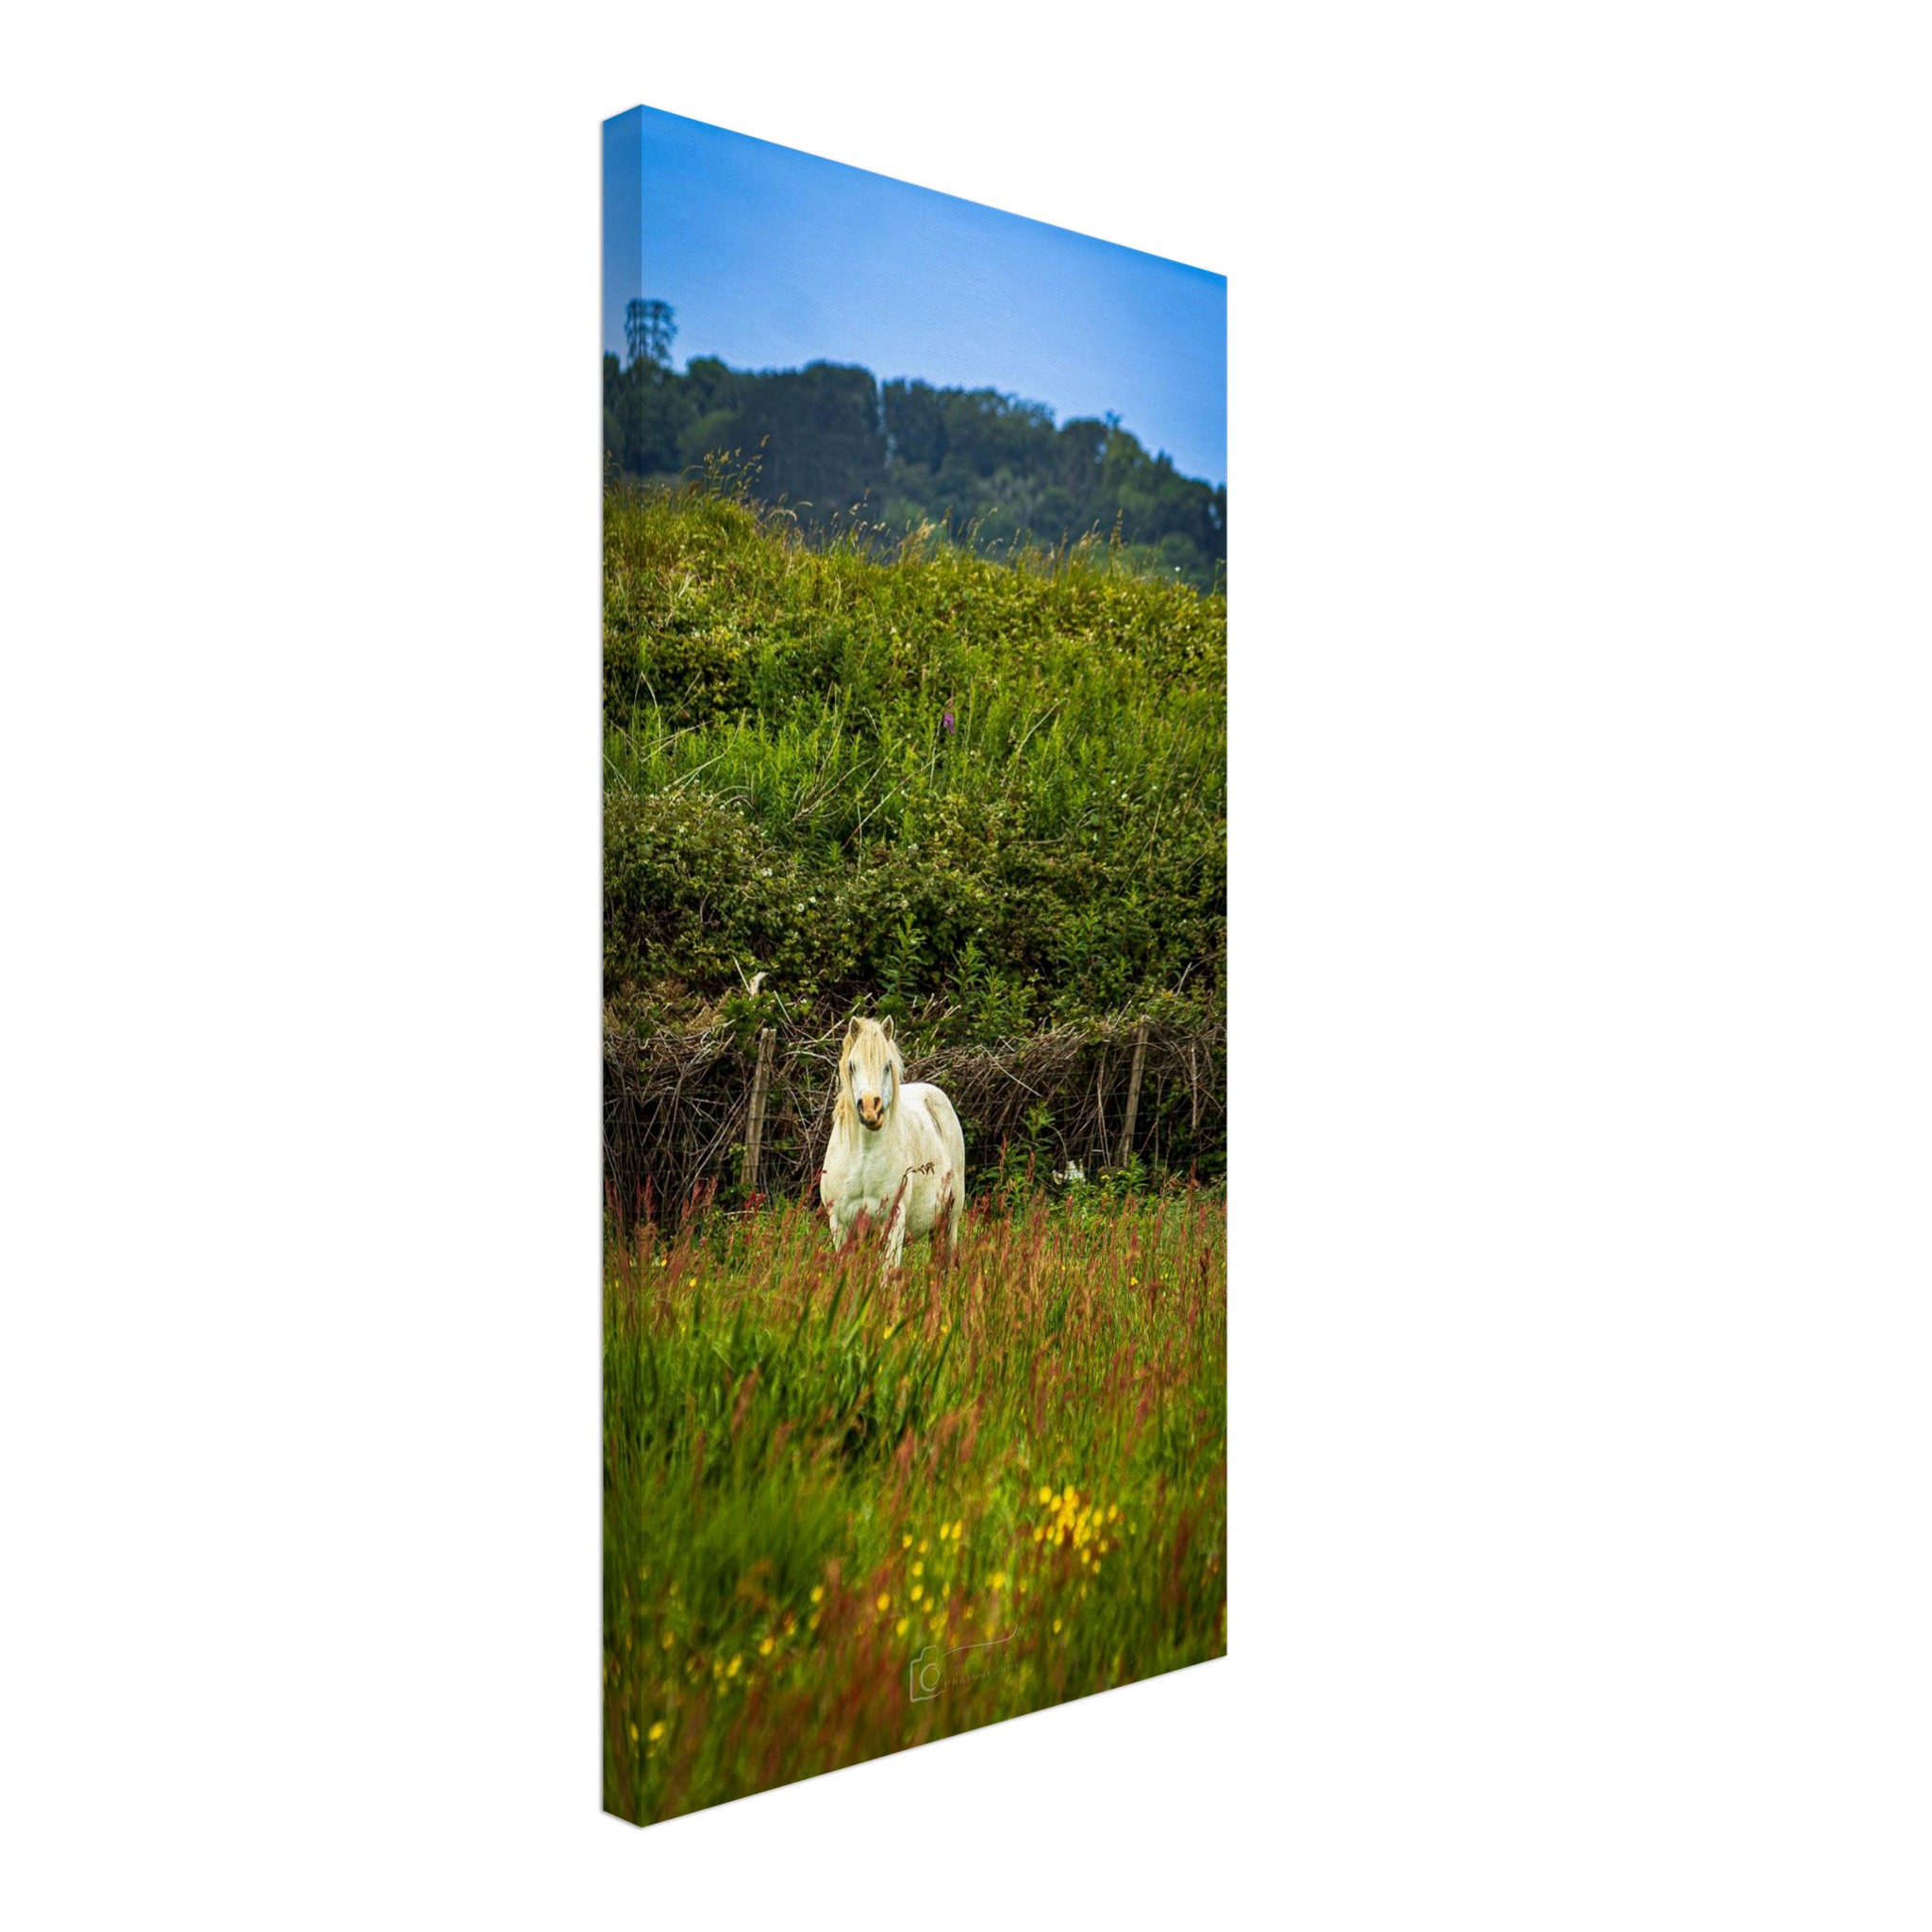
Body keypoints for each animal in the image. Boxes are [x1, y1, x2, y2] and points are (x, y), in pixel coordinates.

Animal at [820, 1014, 966, 1275]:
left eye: (887, 1065)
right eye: (852, 1066)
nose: (870, 1109)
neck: (863, 1159)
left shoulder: (894, 1222)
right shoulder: (840, 1225)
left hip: (950, 1220)